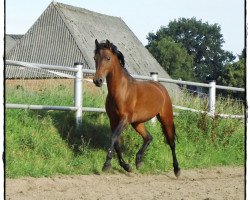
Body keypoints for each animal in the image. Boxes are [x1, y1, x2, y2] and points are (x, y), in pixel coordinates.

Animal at [93, 39, 181, 177]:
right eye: (95, 58)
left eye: (108, 58)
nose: (97, 80)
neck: (121, 91)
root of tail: (161, 87)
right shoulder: (113, 120)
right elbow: (116, 142)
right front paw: (126, 166)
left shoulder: (124, 119)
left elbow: (113, 138)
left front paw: (106, 165)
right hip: (137, 123)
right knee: (149, 137)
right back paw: (138, 161)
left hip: (165, 118)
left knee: (171, 142)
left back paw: (177, 169)